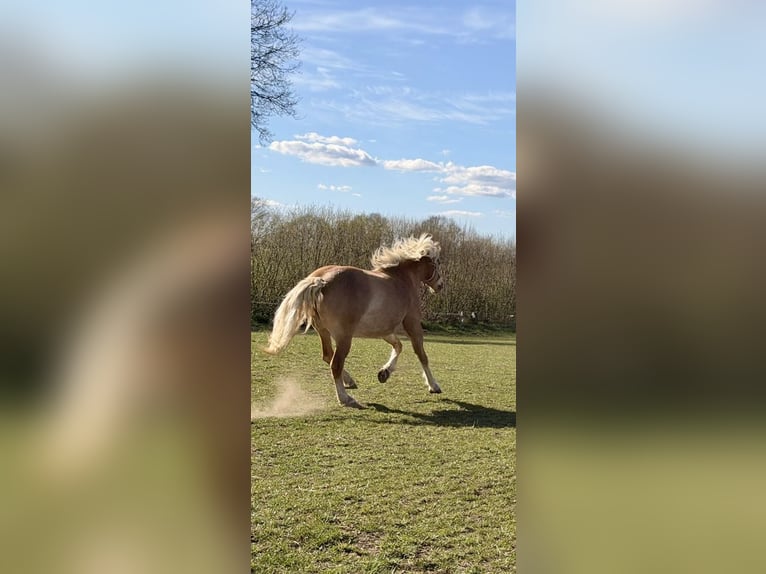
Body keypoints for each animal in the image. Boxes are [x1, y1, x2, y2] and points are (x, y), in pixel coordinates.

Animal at [265, 233, 445, 408]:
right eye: (436, 264)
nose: (440, 286)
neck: (402, 279)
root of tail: (320, 280)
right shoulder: (413, 326)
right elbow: (422, 355)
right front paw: (434, 386)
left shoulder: (385, 330)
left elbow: (398, 346)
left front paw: (384, 373)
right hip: (344, 337)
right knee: (335, 364)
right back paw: (346, 398)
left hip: (323, 331)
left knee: (328, 355)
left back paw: (350, 382)